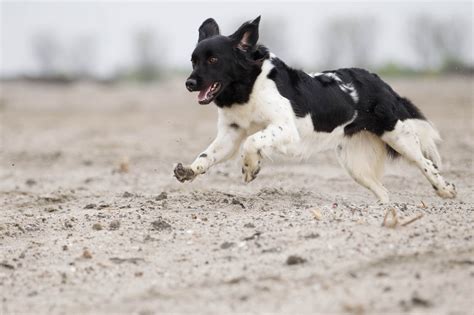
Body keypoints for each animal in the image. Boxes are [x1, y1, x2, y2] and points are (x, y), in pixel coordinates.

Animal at [174, 16, 456, 204]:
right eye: (193, 60)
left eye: (213, 60)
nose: (189, 83)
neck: (247, 87)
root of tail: (378, 80)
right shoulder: (231, 133)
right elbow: (207, 155)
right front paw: (188, 171)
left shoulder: (285, 128)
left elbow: (252, 141)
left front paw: (251, 168)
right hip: (355, 164)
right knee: (383, 191)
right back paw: (386, 212)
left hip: (398, 136)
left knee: (426, 163)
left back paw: (445, 189)